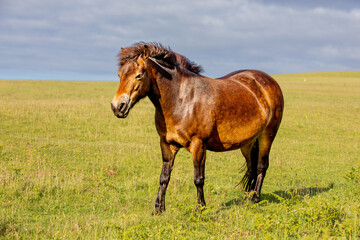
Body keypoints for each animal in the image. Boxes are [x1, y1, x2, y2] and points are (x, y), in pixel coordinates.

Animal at [110, 42, 284, 215]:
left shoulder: (199, 145)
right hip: (247, 143)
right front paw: (158, 209)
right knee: (251, 167)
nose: (117, 106)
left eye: (139, 75)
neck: (181, 99)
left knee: (261, 166)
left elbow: (198, 179)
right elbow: (164, 177)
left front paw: (200, 208)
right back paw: (248, 198)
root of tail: (267, 80)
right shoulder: (167, 144)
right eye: (119, 75)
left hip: (267, 135)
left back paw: (255, 198)